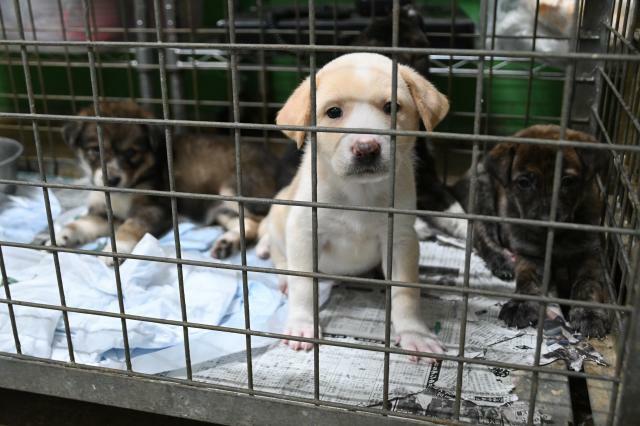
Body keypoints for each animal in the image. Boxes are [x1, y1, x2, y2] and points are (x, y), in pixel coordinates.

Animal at [56, 102, 282, 262]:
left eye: (131, 153)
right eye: (94, 150)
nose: (112, 179)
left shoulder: (153, 209)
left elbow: (128, 228)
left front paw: (116, 250)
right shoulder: (103, 213)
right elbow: (81, 223)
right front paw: (61, 236)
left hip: (235, 189)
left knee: (266, 220)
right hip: (220, 208)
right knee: (249, 225)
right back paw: (226, 244)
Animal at [260, 51, 450, 362]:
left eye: (392, 107)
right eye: (333, 112)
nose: (366, 148)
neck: (360, 193)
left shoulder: (401, 239)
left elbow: (406, 292)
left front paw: (415, 334)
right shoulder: (303, 230)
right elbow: (304, 284)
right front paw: (302, 324)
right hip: (279, 214)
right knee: (278, 254)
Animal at [452, 125, 612, 338]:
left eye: (567, 181)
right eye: (524, 183)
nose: (545, 221)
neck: (556, 238)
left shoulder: (588, 254)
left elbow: (588, 283)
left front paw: (589, 313)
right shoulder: (530, 255)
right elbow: (527, 281)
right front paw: (521, 304)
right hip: (482, 194)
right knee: (483, 236)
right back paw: (501, 260)